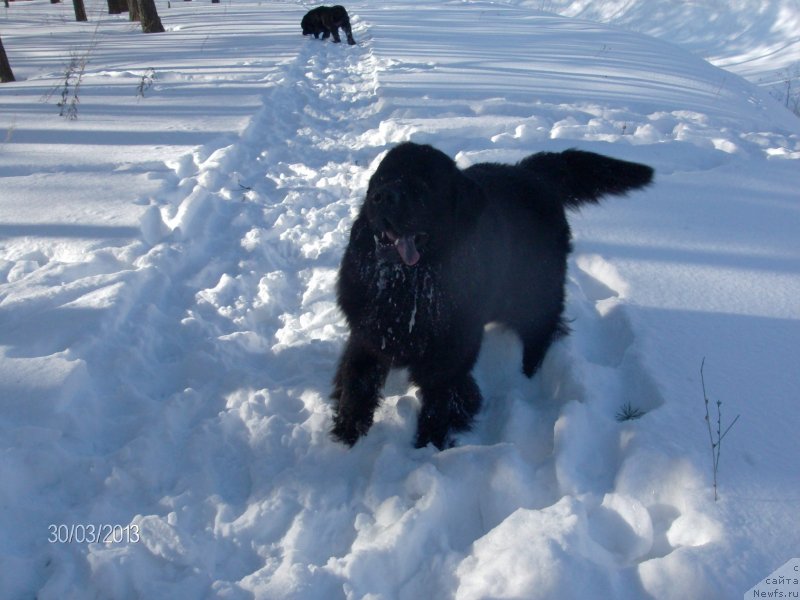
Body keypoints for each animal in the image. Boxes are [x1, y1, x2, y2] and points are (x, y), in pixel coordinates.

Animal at [334, 142, 652, 450]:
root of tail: (532, 172)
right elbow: (355, 383)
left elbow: (440, 404)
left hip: (534, 292)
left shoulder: (448, 359)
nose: (382, 197)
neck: (408, 287)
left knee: (541, 329)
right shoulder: (367, 336)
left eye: (421, 185)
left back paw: (528, 373)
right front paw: (347, 434)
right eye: (381, 179)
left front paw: (428, 448)